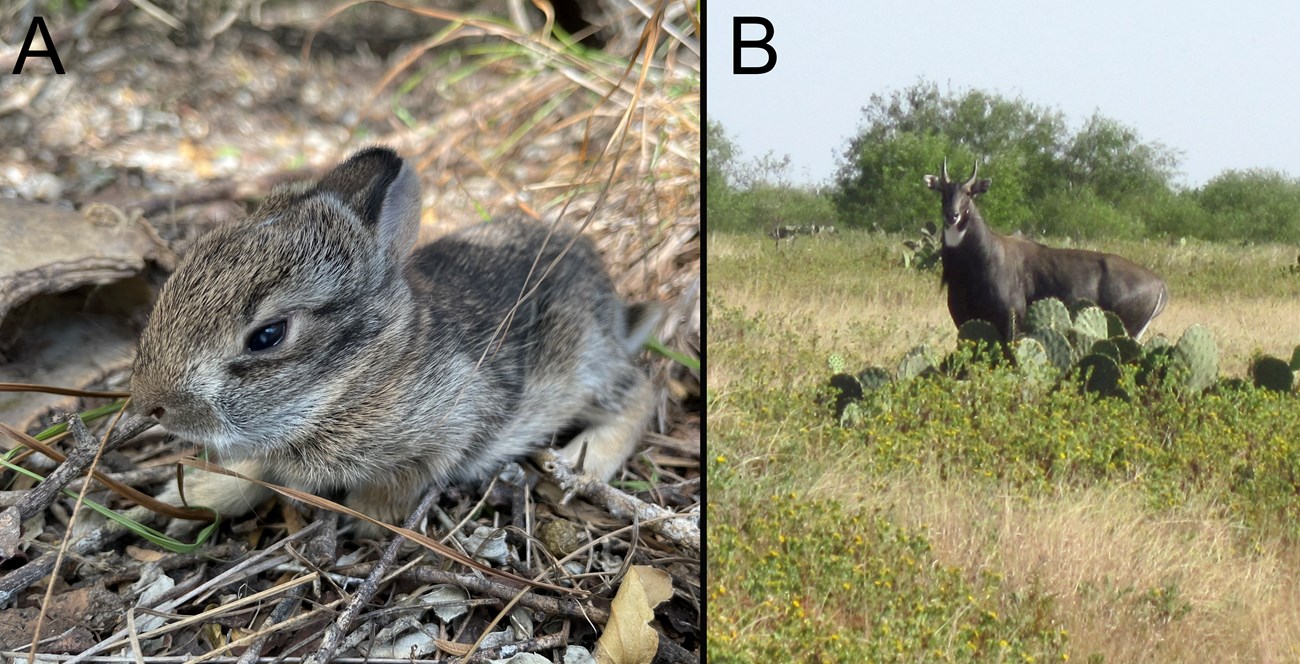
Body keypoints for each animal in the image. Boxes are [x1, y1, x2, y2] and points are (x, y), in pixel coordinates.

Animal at [129, 146, 660, 535]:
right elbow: (252, 475)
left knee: (639, 392)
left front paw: (366, 517)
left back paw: (583, 462)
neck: (361, 371)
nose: (153, 404)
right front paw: (189, 501)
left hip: (585, 361)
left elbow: (404, 481)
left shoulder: (451, 424)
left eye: (268, 335)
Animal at [925, 159, 1170, 340]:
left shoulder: (1010, 320)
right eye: (943, 191)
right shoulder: (964, 320)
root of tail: (1160, 284)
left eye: (969, 193)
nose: (952, 215)